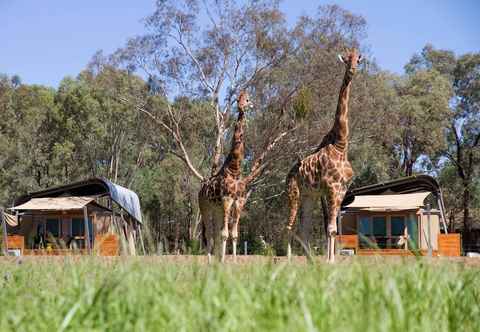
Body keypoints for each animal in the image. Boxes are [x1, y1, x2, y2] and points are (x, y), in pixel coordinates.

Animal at [198, 90, 253, 262]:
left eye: (247, 98)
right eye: (239, 99)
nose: (246, 106)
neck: (234, 170)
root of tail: (200, 190)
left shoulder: (239, 201)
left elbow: (233, 234)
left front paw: (233, 262)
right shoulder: (227, 200)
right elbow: (224, 234)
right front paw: (222, 261)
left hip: (216, 209)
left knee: (214, 234)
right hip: (205, 207)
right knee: (209, 234)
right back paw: (210, 262)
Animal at [284, 48, 360, 264]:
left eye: (358, 60)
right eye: (346, 59)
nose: (352, 71)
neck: (341, 144)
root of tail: (288, 175)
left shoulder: (341, 190)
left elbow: (332, 228)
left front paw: (329, 260)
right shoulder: (332, 189)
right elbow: (331, 228)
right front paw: (330, 261)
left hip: (309, 196)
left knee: (304, 229)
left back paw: (311, 261)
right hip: (294, 193)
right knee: (289, 227)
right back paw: (289, 261)